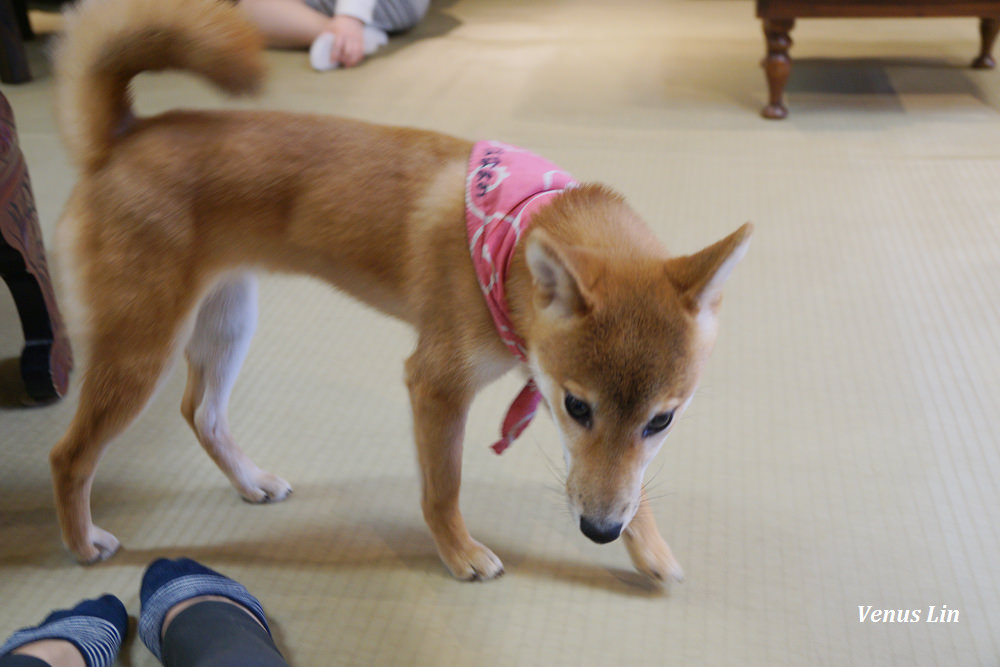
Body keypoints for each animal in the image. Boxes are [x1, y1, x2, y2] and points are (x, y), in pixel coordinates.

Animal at [47, 0, 752, 580]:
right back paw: (81, 542)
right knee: (70, 455)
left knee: (204, 414)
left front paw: (649, 546)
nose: (598, 534)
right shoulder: (440, 385)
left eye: (662, 420)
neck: (512, 232)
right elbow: (444, 489)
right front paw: (460, 553)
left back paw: (250, 481)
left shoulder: (551, 388)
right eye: (580, 408)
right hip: (141, 351)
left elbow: (625, 483)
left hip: (227, 322)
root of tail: (120, 138)